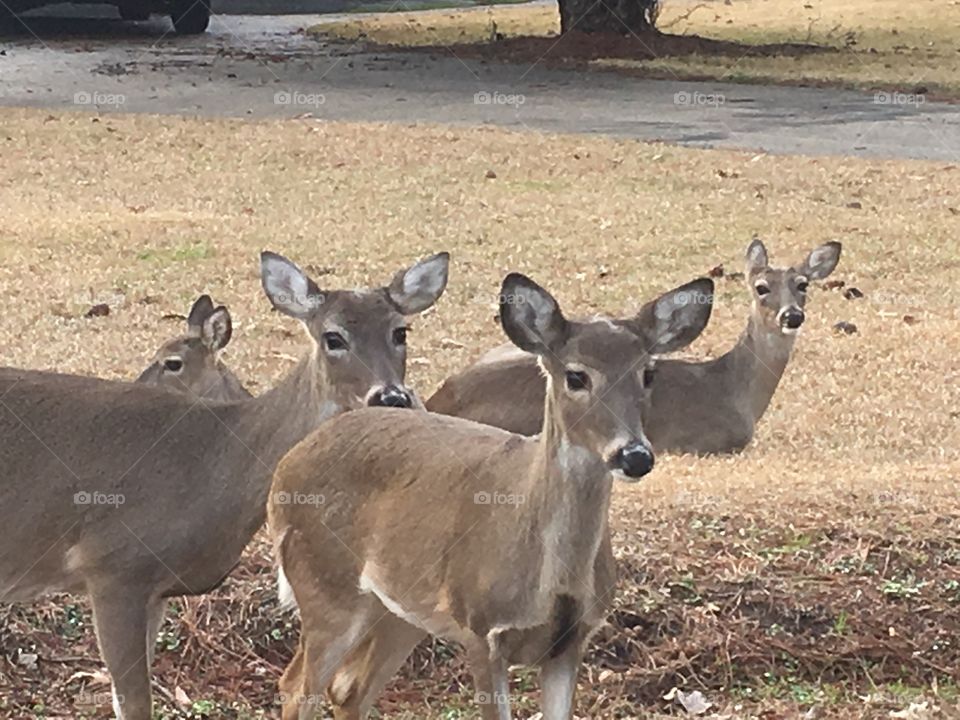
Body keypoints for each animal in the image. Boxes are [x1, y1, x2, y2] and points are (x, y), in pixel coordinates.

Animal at [0, 249, 449, 720]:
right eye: (333, 337)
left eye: (400, 331)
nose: (391, 397)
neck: (216, 463)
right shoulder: (112, 564)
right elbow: (134, 702)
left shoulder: (154, 590)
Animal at [268, 272, 714, 720]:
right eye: (576, 376)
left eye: (648, 374)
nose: (634, 455)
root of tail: (284, 471)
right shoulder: (480, 627)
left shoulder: (571, 642)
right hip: (327, 585)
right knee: (296, 686)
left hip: (398, 609)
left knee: (347, 688)